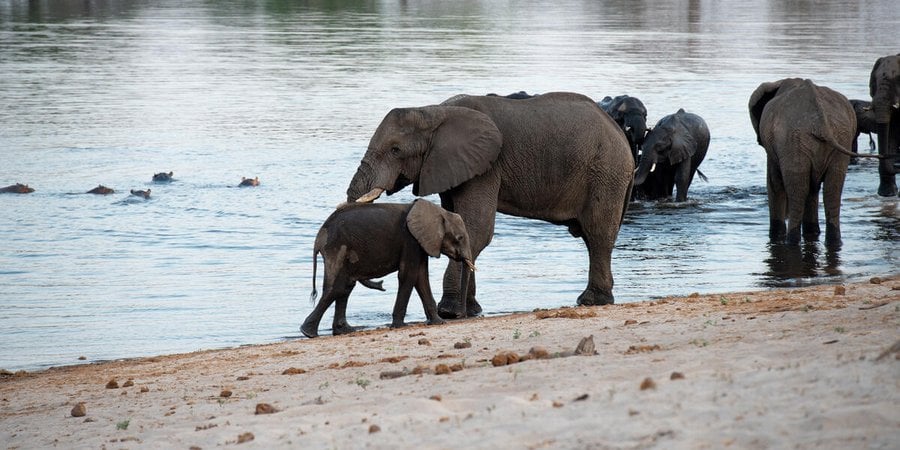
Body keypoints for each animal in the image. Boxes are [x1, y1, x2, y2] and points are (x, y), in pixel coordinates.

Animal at [301, 199, 474, 338]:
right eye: (459, 238)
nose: (461, 316)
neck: (439, 211)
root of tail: (319, 238)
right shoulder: (410, 239)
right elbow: (409, 275)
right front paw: (399, 326)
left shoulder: (421, 242)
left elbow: (420, 277)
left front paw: (439, 322)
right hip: (337, 248)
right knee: (337, 287)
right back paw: (308, 333)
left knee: (345, 286)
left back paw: (344, 331)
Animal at [346, 91, 634, 319]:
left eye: (395, 150)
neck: (433, 112)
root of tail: (621, 135)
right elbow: (459, 225)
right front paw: (471, 311)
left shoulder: (486, 167)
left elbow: (477, 228)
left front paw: (449, 312)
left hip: (606, 172)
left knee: (597, 235)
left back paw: (591, 301)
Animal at [749, 78, 858, 246]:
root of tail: (821, 122)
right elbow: (813, 189)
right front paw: (812, 232)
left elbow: (774, 184)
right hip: (840, 137)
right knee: (831, 190)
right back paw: (833, 242)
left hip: (793, 142)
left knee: (798, 190)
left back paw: (791, 242)